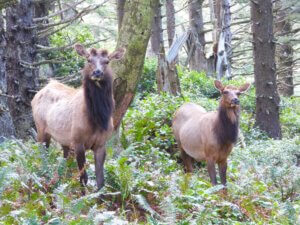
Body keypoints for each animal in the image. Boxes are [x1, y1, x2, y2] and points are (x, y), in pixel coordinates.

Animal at [32, 43, 126, 190]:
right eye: (89, 60)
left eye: (107, 61)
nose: (97, 72)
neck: (97, 120)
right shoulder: (78, 141)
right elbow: (83, 178)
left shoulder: (101, 143)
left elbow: (101, 181)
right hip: (41, 129)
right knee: (42, 156)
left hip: (64, 140)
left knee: (63, 161)